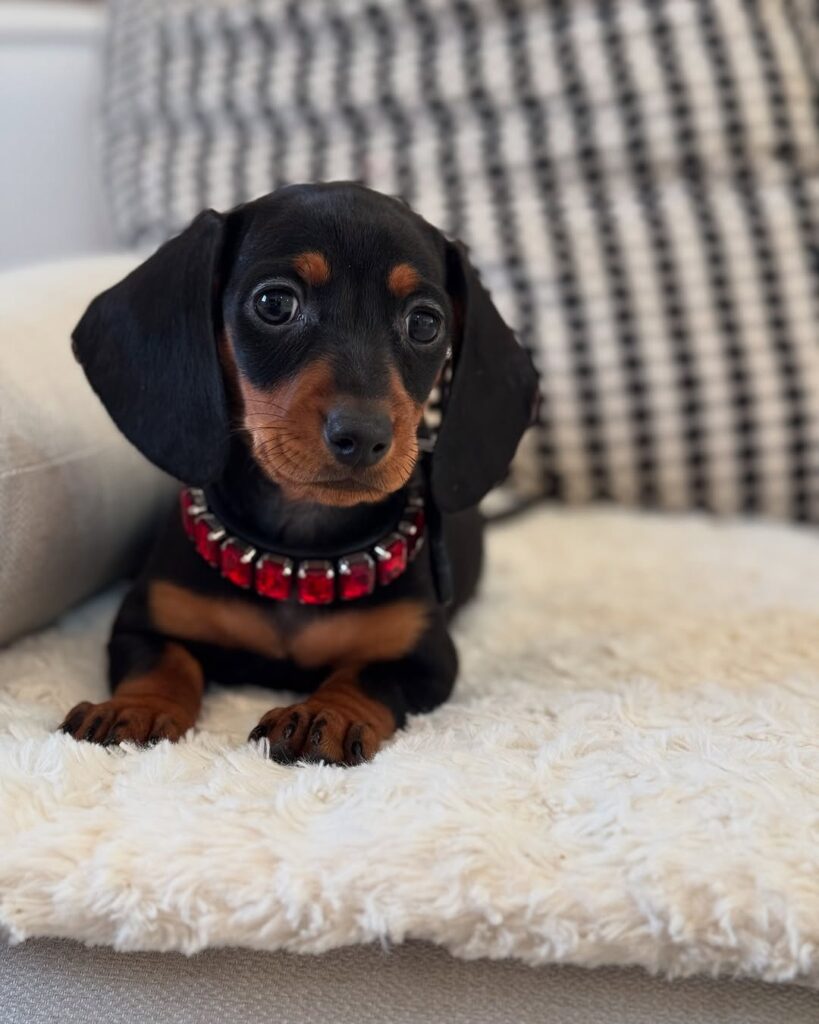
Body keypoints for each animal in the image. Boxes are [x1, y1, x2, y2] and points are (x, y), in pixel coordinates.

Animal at [59, 182, 538, 765]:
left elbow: (365, 676)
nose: (363, 436)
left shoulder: (425, 656)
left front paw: (323, 714)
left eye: (426, 323)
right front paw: (136, 708)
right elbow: (165, 662)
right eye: (275, 303)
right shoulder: (144, 623)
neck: (299, 550)